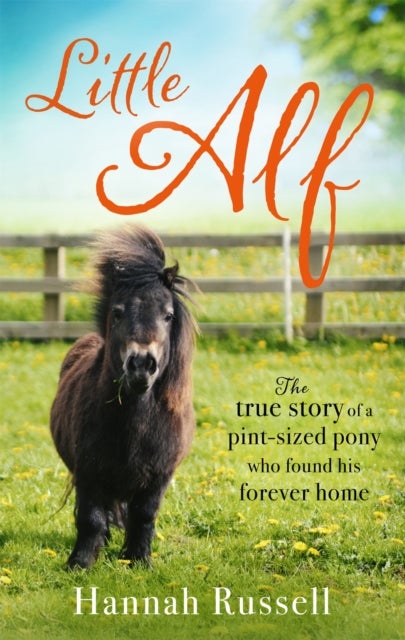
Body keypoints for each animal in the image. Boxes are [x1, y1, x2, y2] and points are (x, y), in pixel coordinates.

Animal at [50, 226, 197, 569]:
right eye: (117, 313)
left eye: (168, 315)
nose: (141, 364)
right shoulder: (87, 473)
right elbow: (90, 518)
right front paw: (80, 563)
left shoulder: (159, 476)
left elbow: (144, 515)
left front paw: (138, 560)